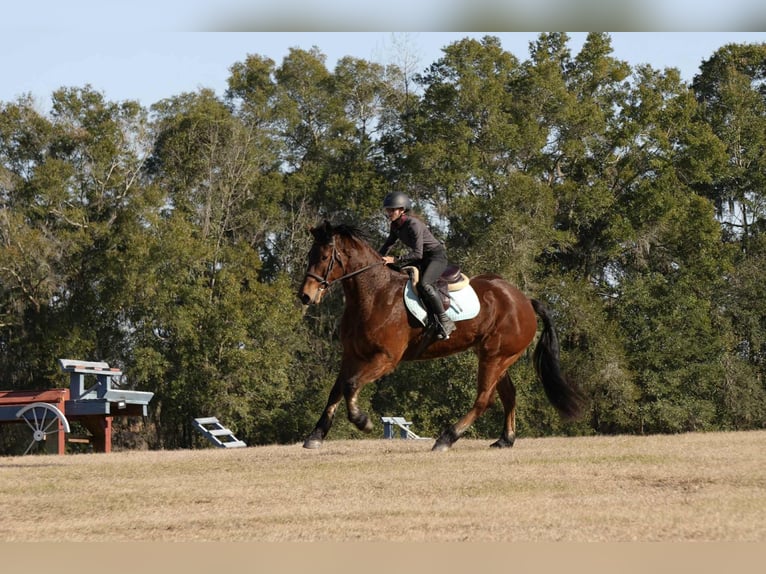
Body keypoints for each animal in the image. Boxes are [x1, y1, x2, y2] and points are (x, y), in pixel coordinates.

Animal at [297, 220, 584, 451]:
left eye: (324, 257)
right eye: (310, 254)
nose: (305, 296)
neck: (373, 294)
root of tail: (524, 300)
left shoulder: (386, 359)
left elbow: (350, 385)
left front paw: (362, 421)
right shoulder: (351, 354)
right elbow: (336, 389)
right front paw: (316, 435)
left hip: (495, 357)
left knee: (484, 399)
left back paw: (447, 438)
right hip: (498, 357)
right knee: (508, 395)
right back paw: (505, 440)